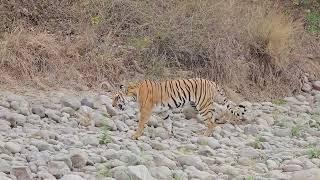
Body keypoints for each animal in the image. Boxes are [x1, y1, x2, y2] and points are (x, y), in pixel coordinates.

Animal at [112, 77, 248, 139]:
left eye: (117, 97)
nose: (112, 105)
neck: (136, 92)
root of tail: (212, 82)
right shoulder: (164, 111)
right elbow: (168, 123)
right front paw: (170, 134)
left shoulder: (145, 111)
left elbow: (140, 123)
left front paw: (135, 135)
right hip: (203, 106)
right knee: (213, 119)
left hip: (203, 106)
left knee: (211, 122)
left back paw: (204, 135)